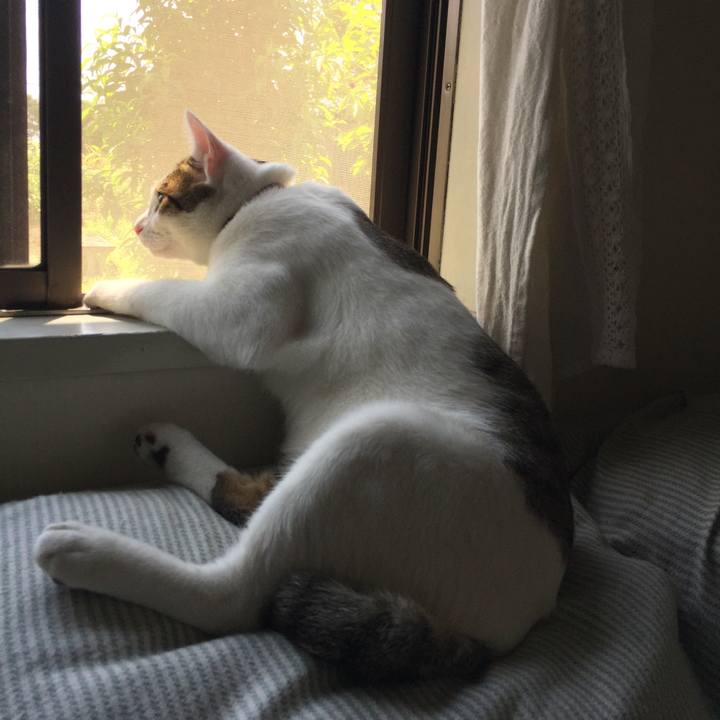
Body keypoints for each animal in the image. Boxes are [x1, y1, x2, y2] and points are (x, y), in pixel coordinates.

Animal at [34, 111, 573, 682]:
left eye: (162, 197)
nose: (137, 226)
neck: (260, 200)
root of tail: (515, 624)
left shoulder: (244, 311)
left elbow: (165, 291)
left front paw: (105, 287)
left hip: (374, 441)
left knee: (230, 594)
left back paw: (80, 549)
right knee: (243, 498)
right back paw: (165, 445)